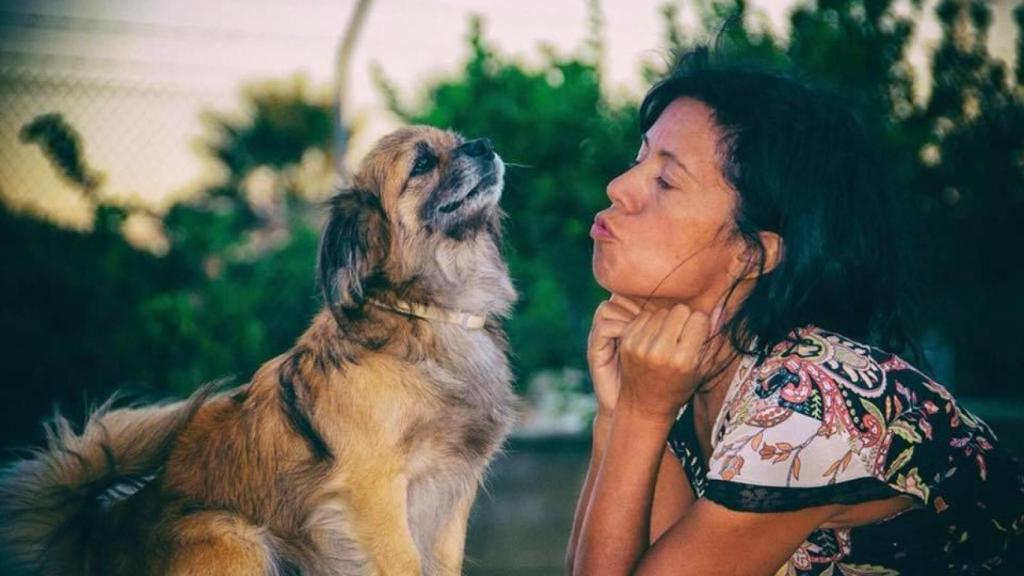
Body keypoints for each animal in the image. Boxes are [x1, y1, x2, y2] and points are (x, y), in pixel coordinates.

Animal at [0, 126, 516, 573]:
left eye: (458, 140)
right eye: (422, 163)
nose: (485, 144)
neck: (425, 313)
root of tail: (103, 537)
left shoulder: (452, 495)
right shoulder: (374, 493)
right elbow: (402, 562)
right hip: (235, 536)